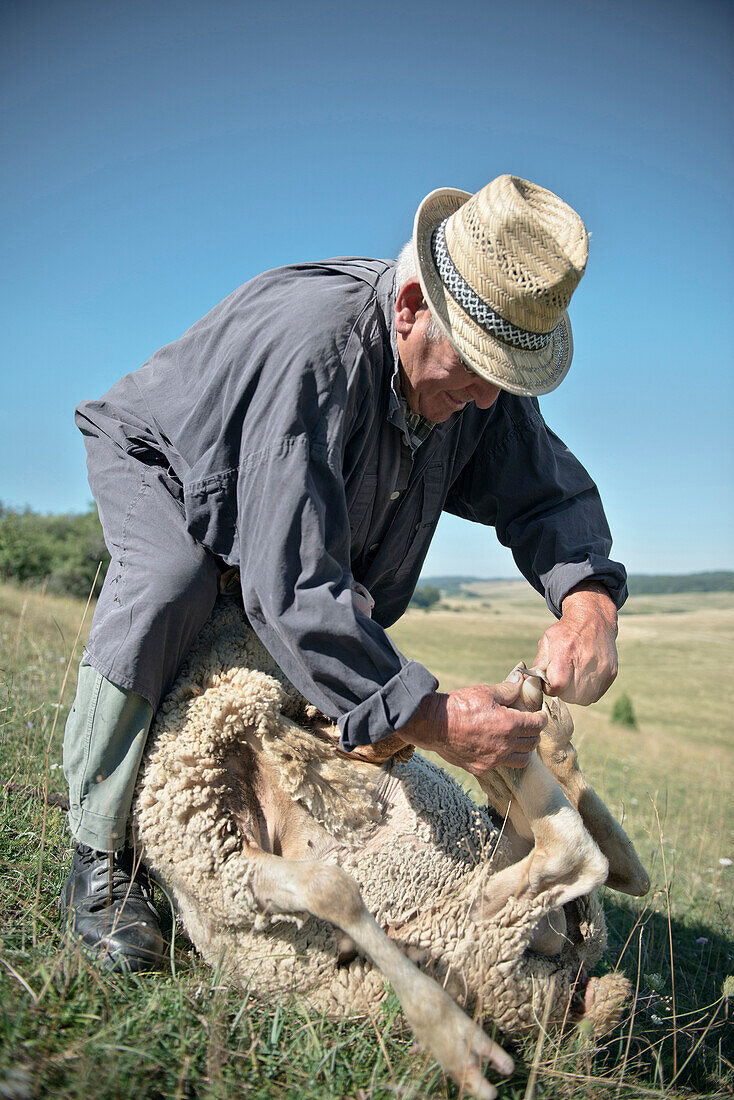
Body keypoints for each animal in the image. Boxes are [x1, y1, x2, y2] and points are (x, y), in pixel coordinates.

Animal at [132, 602, 647, 1100]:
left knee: (617, 868)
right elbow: (332, 889)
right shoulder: (224, 865)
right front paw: (445, 1029)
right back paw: (519, 719)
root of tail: (570, 989)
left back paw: (533, 725)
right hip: (481, 930)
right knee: (579, 857)